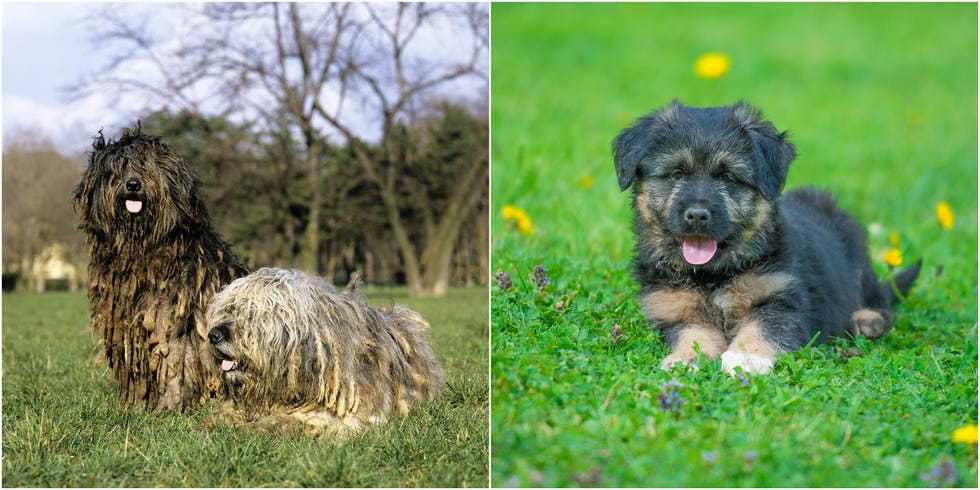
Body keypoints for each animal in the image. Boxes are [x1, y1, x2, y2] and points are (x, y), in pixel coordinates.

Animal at [74, 125, 247, 410]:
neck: (140, 251)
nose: (133, 184)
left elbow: (176, 362)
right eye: (118, 169)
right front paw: (134, 403)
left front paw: (169, 405)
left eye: (147, 167)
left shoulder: (173, 319)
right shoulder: (125, 325)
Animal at [612, 99, 920, 376]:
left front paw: (746, 358)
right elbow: (694, 334)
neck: (713, 275)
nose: (698, 215)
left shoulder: (781, 297)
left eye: (729, 178)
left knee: (877, 298)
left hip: (857, 253)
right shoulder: (673, 306)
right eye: (676, 174)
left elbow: (763, 327)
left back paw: (867, 320)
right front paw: (685, 359)